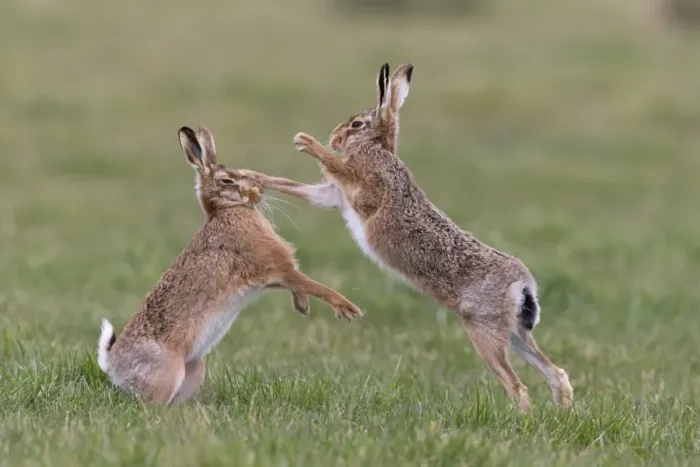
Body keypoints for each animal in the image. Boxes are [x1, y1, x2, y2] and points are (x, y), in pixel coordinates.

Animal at [97, 126, 362, 405]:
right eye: (227, 180)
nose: (258, 192)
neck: (226, 210)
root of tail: (113, 367)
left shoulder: (272, 277)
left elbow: (298, 285)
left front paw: (302, 307)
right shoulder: (276, 267)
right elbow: (313, 284)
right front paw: (347, 308)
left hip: (195, 369)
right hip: (167, 372)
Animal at [239, 63, 573, 412]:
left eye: (357, 124)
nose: (334, 137)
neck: (378, 149)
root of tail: (523, 283)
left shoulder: (364, 192)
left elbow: (337, 167)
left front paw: (306, 142)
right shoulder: (335, 197)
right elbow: (296, 186)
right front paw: (248, 175)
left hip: (483, 328)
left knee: (518, 386)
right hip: (514, 332)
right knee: (556, 373)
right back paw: (562, 411)